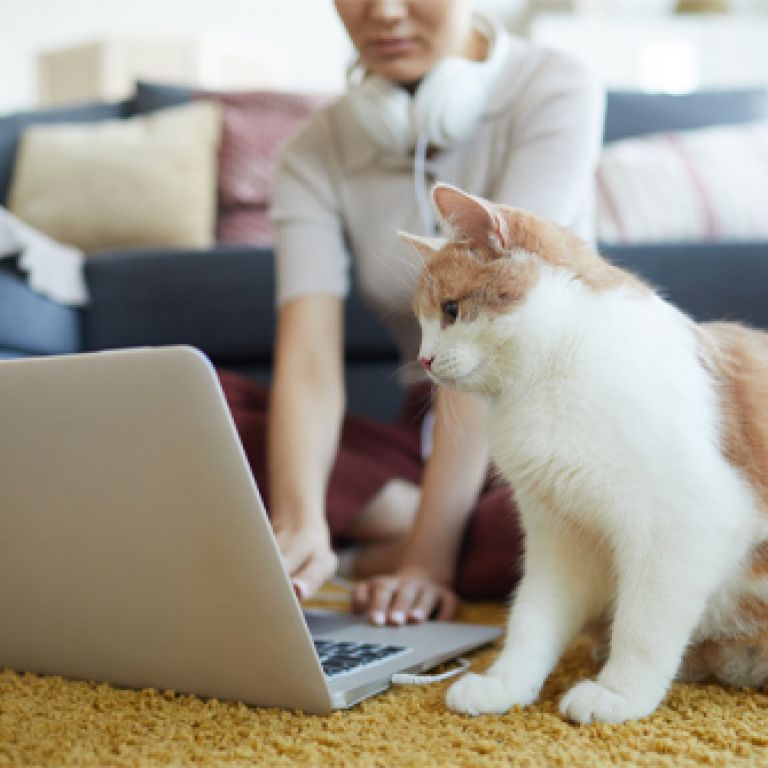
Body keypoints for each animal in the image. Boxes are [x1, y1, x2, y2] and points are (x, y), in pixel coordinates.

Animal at [402, 183, 768, 724]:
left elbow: (643, 624)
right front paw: (505, 683)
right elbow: (532, 618)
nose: (424, 360)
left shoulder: (682, 527)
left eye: (451, 310)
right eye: (422, 322)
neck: (550, 376)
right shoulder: (560, 537)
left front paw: (620, 693)